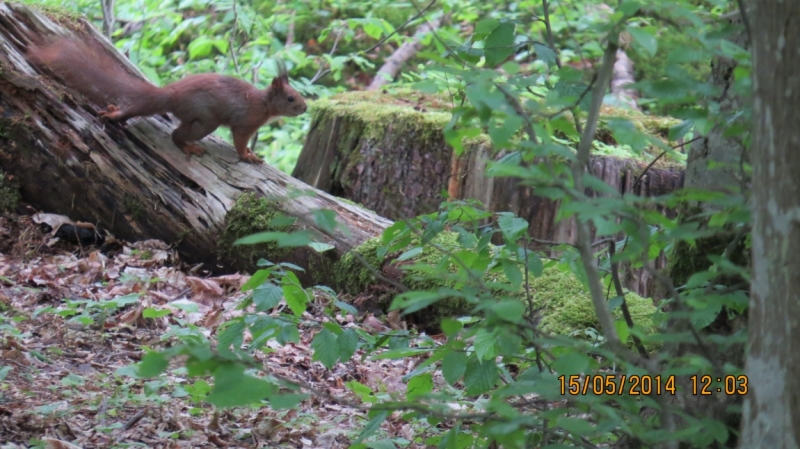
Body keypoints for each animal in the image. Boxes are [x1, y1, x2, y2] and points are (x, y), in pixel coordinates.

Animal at [28, 36, 306, 163]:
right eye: (291, 98)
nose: (304, 108)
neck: (264, 105)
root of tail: (173, 94)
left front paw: (251, 153)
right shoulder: (245, 123)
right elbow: (239, 142)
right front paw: (248, 156)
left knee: (137, 110)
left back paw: (114, 114)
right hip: (206, 120)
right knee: (176, 135)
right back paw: (189, 147)